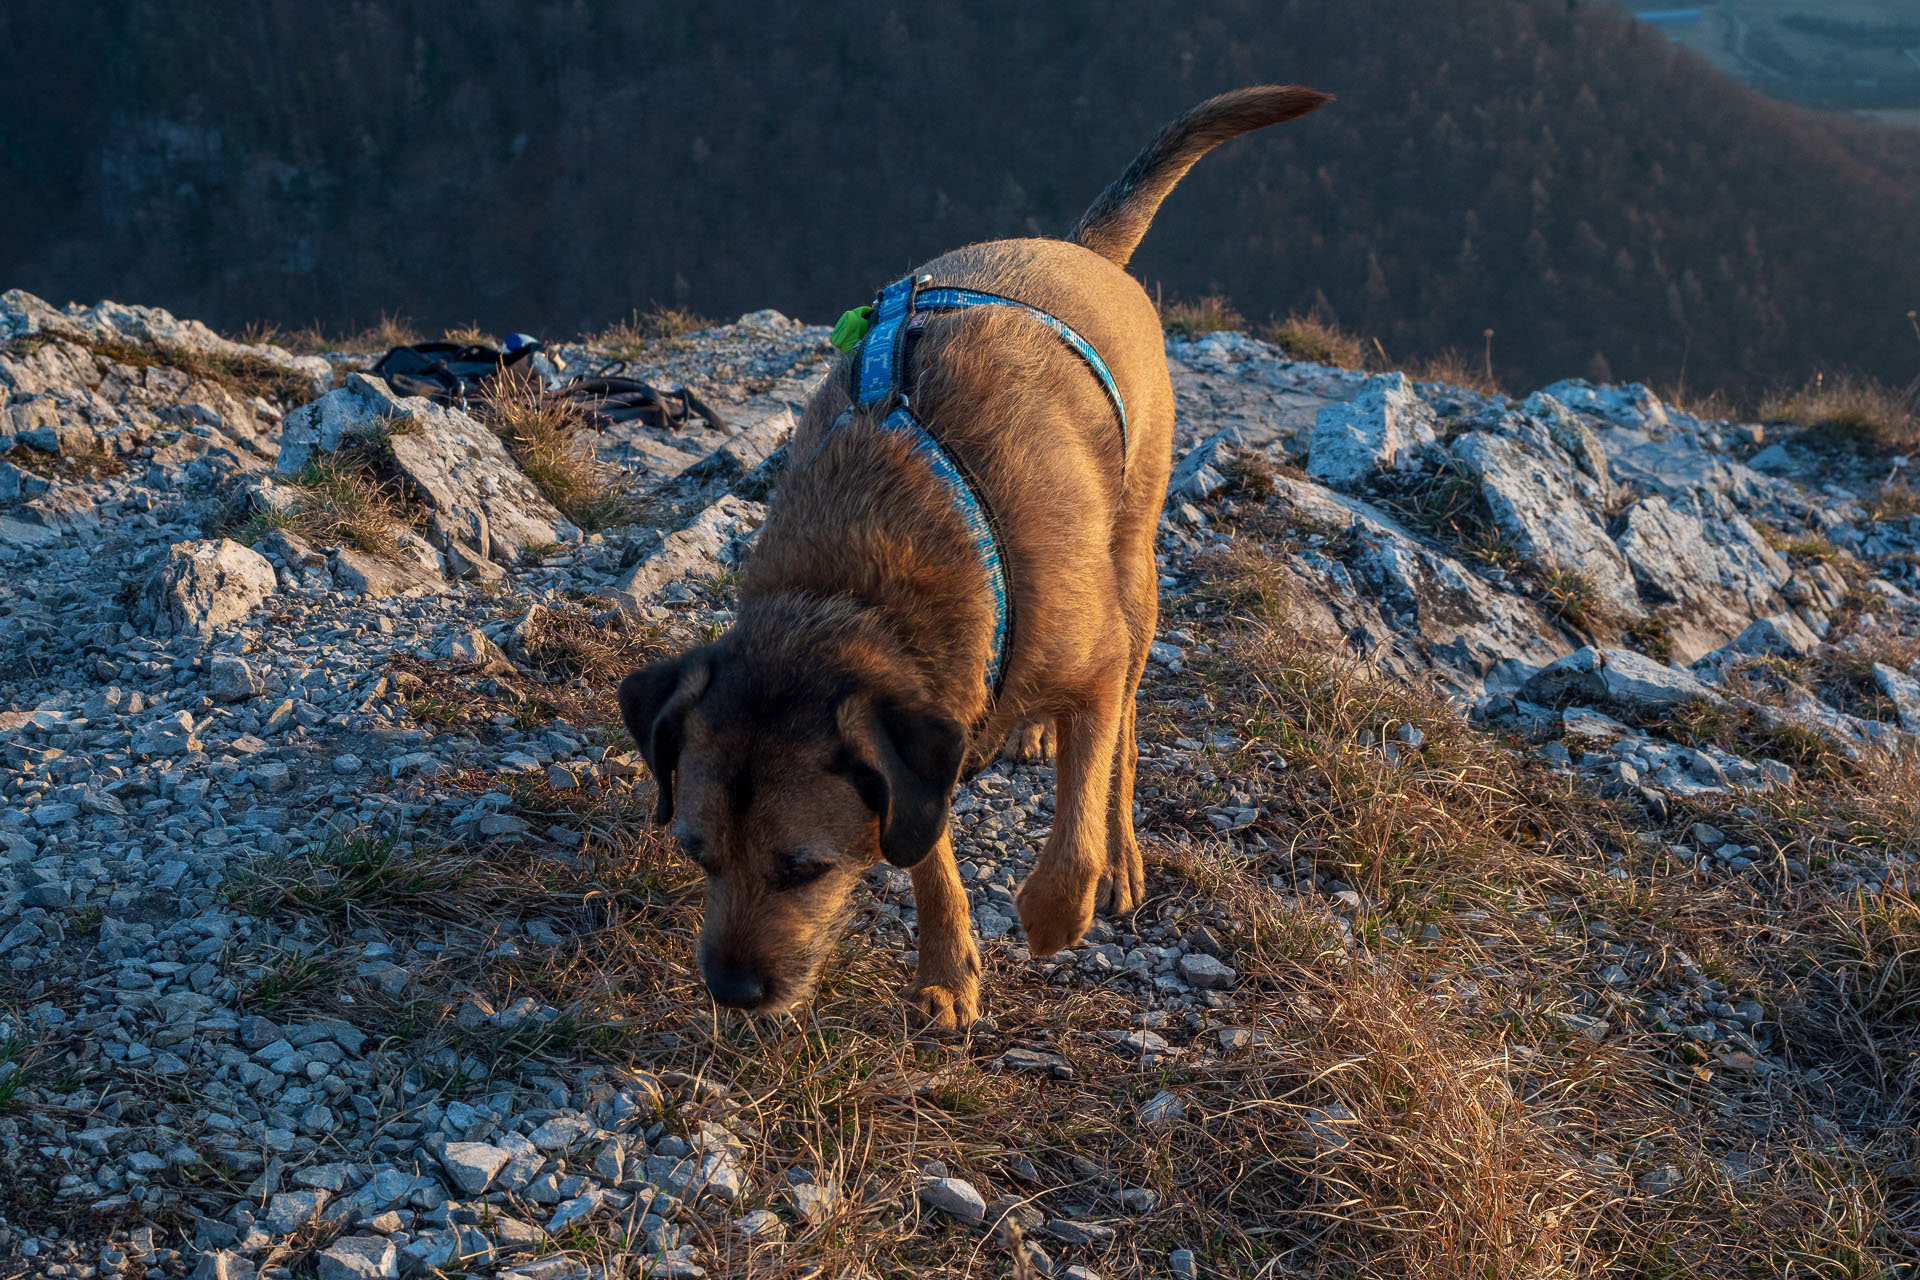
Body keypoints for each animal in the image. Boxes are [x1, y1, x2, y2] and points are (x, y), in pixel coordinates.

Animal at [622, 84, 1328, 1028]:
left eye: (803, 867)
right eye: (696, 853)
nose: (732, 994)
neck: (859, 580)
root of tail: (1078, 249)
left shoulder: (1085, 667)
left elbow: (1077, 822)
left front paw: (1054, 913)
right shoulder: (921, 750)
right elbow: (927, 857)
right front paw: (947, 970)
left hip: (1134, 567)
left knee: (1124, 742)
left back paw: (1120, 851)